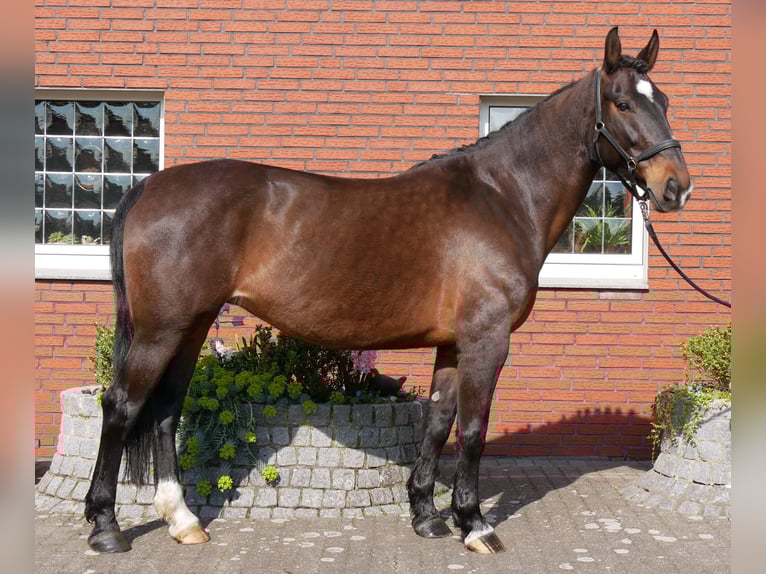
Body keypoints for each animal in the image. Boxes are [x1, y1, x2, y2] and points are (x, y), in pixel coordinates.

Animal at [84, 27, 691, 554]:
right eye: (622, 103)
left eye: (663, 99)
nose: (676, 187)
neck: (503, 196)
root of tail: (149, 186)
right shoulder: (487, 340)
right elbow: (473, 431)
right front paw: (475, 524)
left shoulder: (453, 344)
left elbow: (438, 423)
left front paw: (427, 515)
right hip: (162, 330)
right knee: (121, 405)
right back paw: (106, 527)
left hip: (190, 325)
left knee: (166, 409)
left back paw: (183, 519)